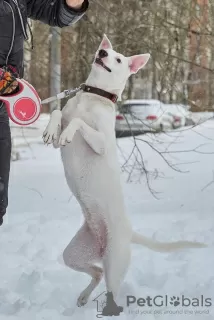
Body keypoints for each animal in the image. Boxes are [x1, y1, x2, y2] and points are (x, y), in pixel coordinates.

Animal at [43, 35, 206, 310]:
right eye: (104, 51)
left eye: (118, 59)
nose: (102, 53)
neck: (92, 97)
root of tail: (129, 234)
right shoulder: (59, 141)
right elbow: (57, 113)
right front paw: (50, 129)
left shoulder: (100, 143)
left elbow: (78, 122)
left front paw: (68, 131)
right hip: (75, 254)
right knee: (95, 272)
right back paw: (84, 296)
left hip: (114, 263)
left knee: (108, 284)